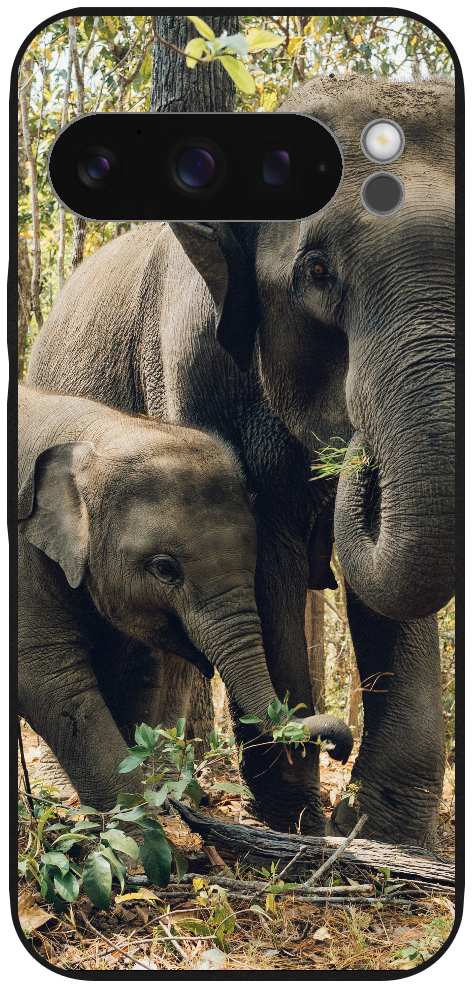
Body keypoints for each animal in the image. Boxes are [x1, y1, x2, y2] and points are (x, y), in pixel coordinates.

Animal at [18, 384, 352, 810]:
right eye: (164, 568)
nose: (339, 750)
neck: (95, 435)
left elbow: (138, 675)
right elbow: (51, 683)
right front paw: (138, 824)